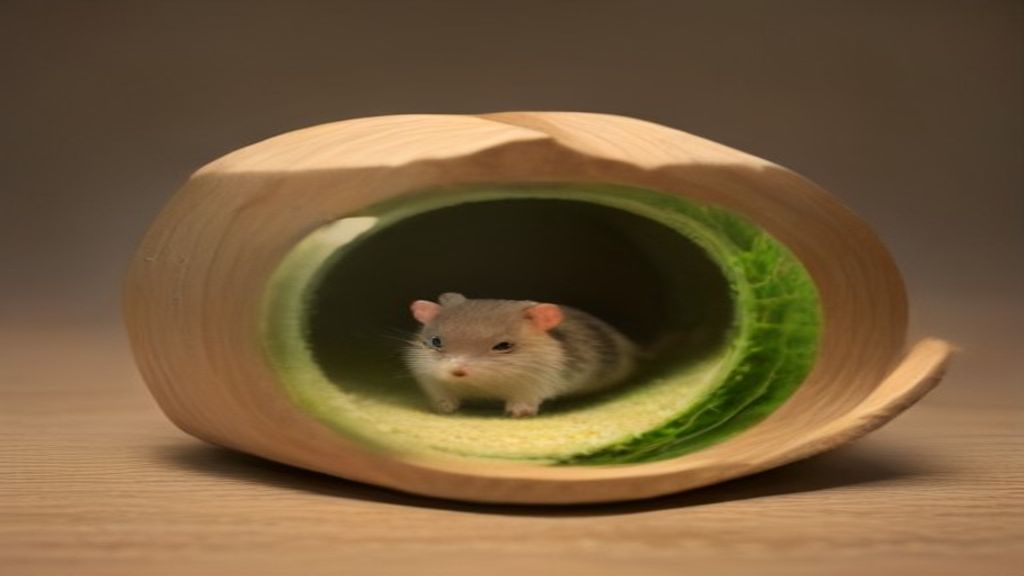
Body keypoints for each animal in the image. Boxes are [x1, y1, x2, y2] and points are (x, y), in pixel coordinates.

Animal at [403, 292, 638, 417]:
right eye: (436, 342)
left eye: (503, 345)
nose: (457, 372)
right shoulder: (429, 378)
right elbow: (443, 396)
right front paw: (444, 408)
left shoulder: (536, 384)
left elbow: (524, 400)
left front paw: (518, 413)